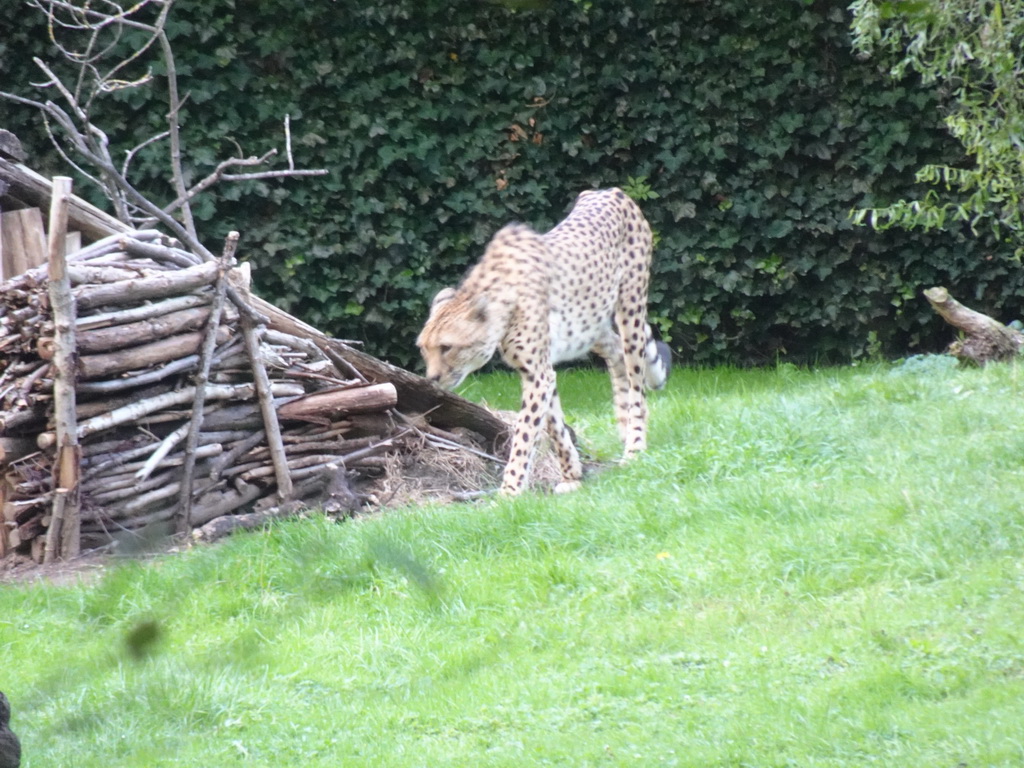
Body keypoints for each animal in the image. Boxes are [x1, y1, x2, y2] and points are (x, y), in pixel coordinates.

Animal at [417, 189, 671, 495]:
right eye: (423, 349)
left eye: (447, 347)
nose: (432, 378)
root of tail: (606, 191)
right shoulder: (539, 369)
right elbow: (553, 423)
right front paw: (571, 474)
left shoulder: (537, 373)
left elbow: (525, 433)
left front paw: (509, 491)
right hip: (589, 326)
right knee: (615, 351)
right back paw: (623, 428)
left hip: (629, 307)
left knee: (635, 379)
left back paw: (634, 446)